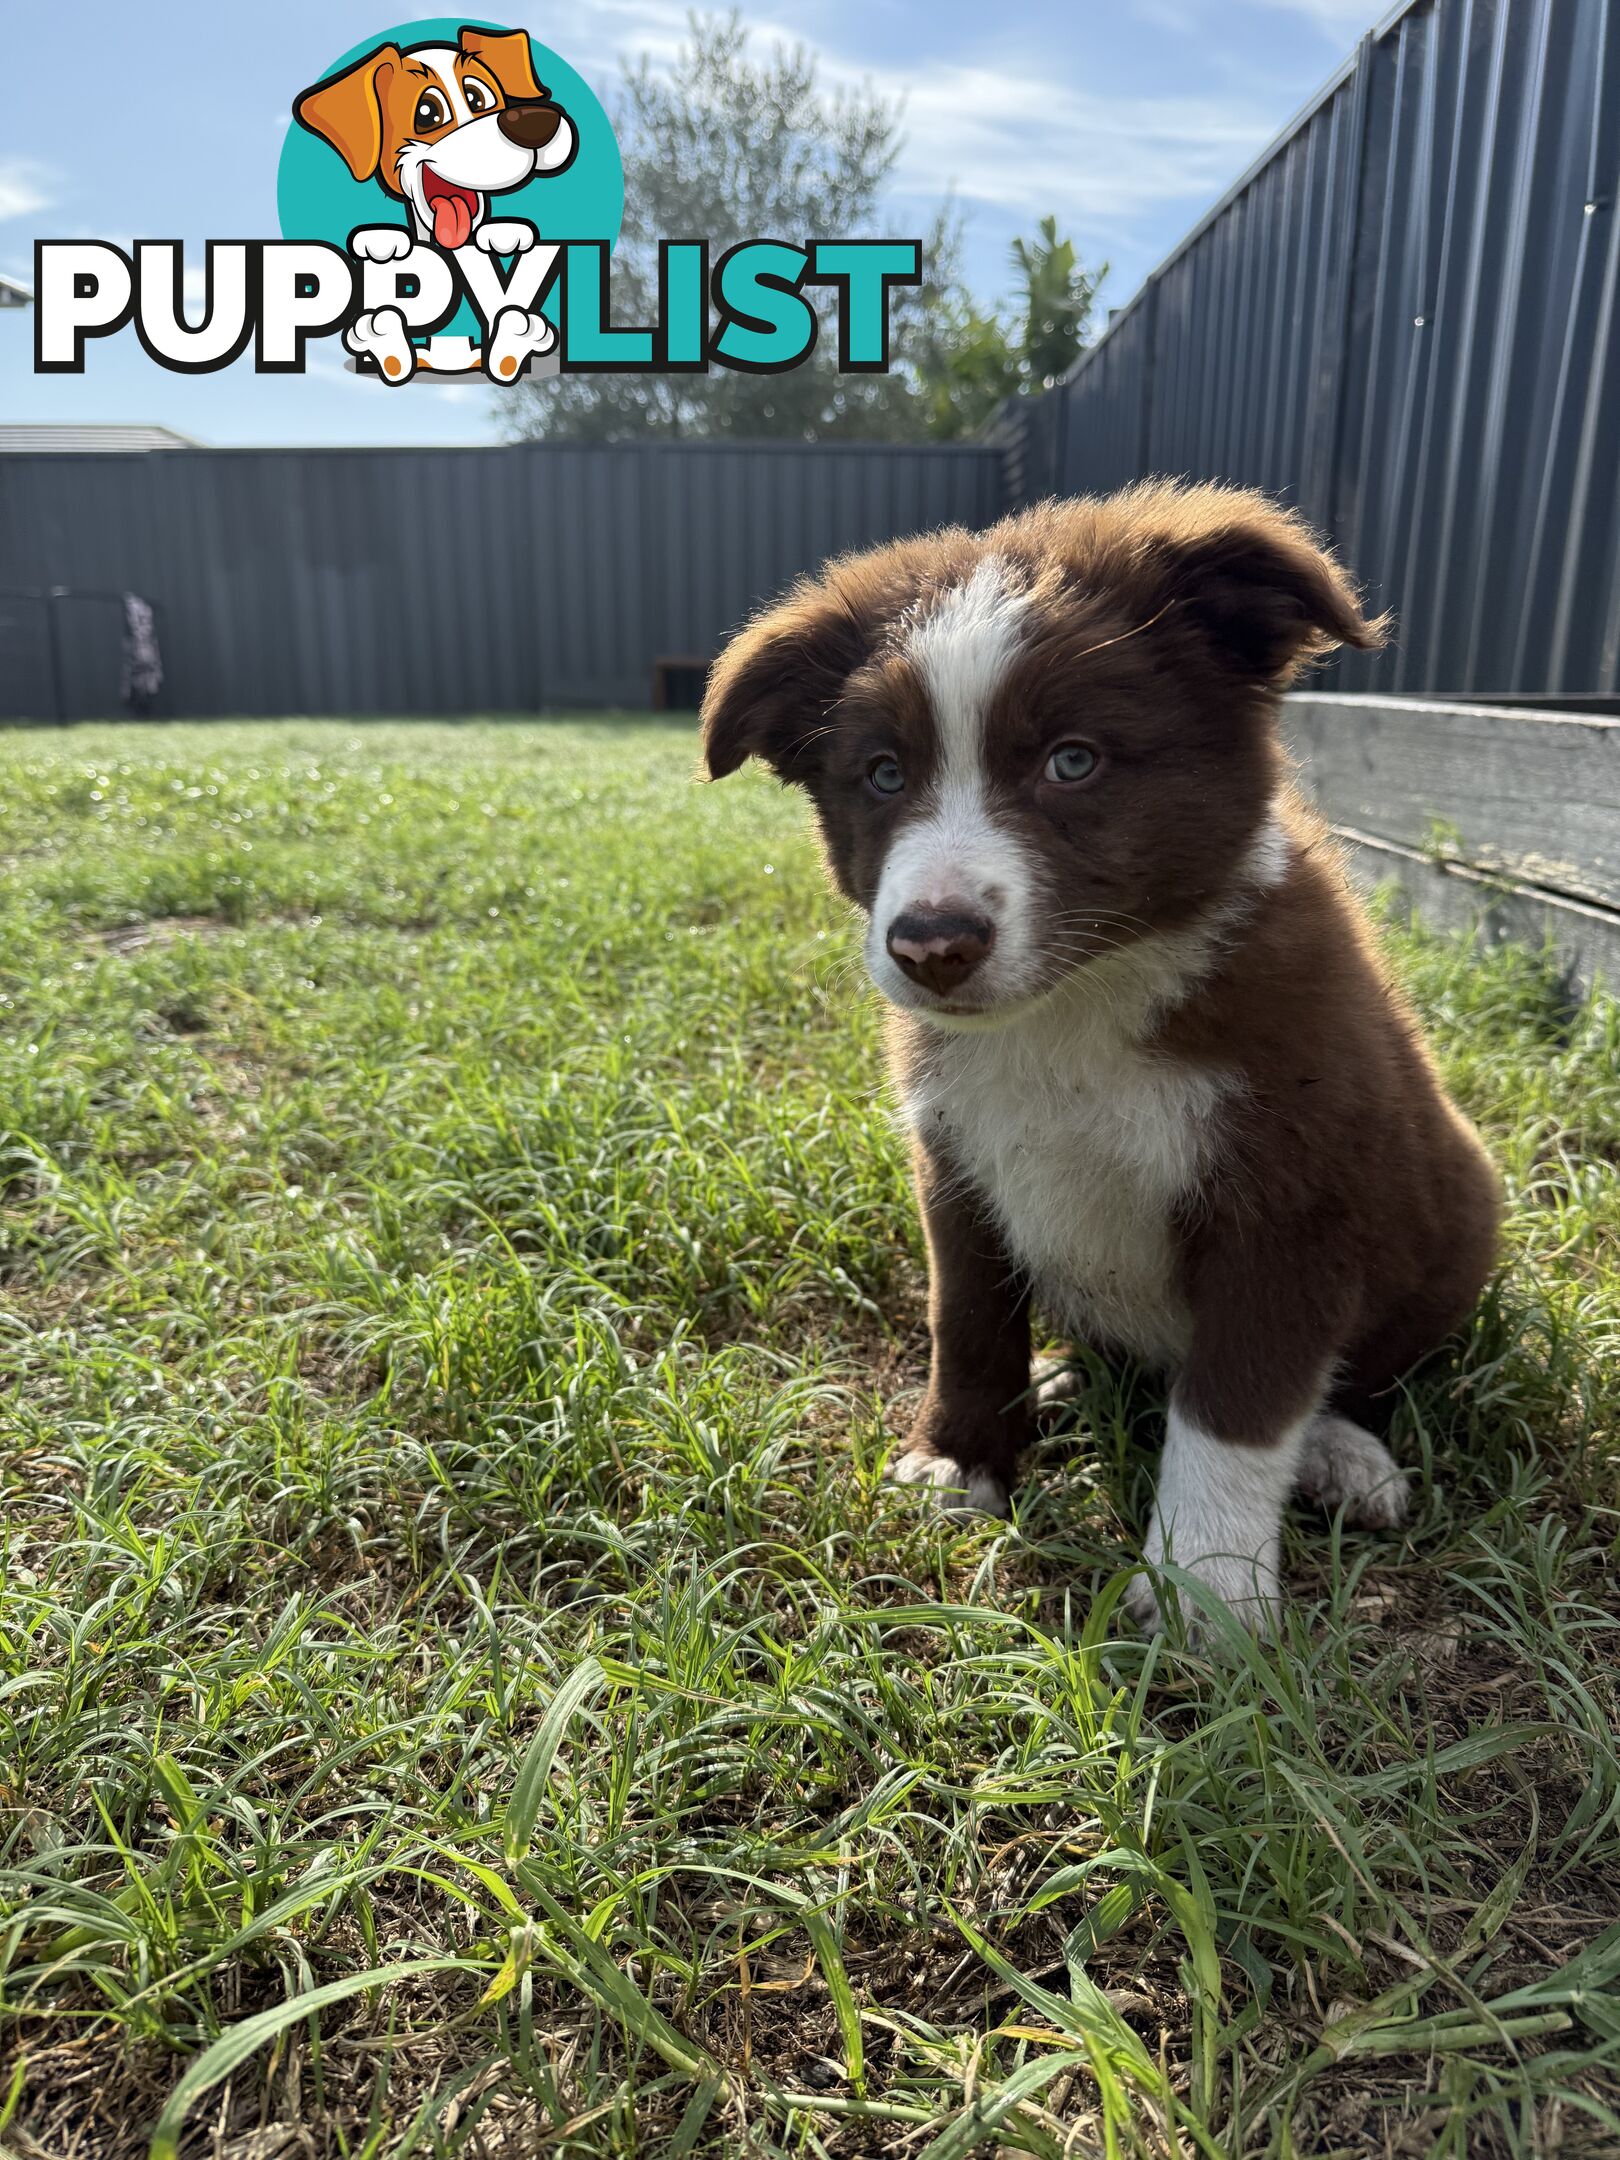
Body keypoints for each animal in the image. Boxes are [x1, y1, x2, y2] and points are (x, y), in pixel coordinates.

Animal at [704, 473, 1503, 1624]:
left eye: (1072, 762)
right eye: (883, 774)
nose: (930, 945)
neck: (1072, 1010)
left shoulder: (1289, 1202)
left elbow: (1237, 1408)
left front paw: (1203, 1593)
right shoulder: (957, 1163)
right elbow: (967, 1321)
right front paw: (960, 1461)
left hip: (1456, 1223)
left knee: (1355, 1379)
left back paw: (1342, 1456)